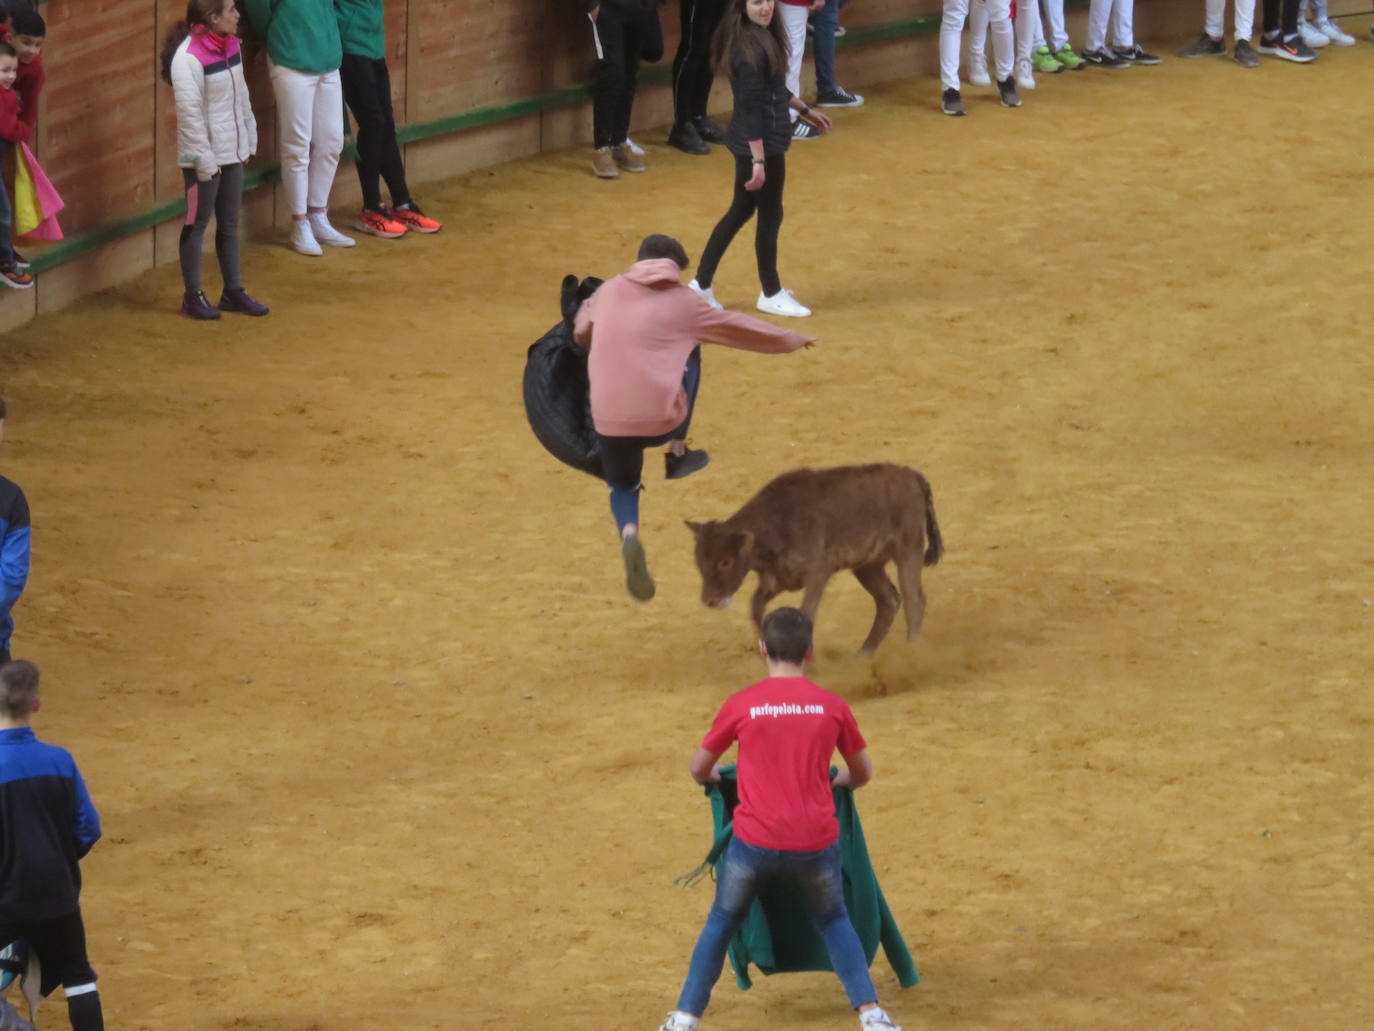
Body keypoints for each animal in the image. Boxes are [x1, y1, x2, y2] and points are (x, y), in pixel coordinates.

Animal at [687, 467, 945, 654]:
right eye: (699, 562)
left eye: (725, 562)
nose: (709, 600)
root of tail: (914, 476)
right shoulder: (777, 580)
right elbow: (756, 607)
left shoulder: (817, 573)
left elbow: (806, 613)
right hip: (867, 565)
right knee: (889, 600)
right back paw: (864, 655)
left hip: (908, 550)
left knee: (913, 599)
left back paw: (912, 650)